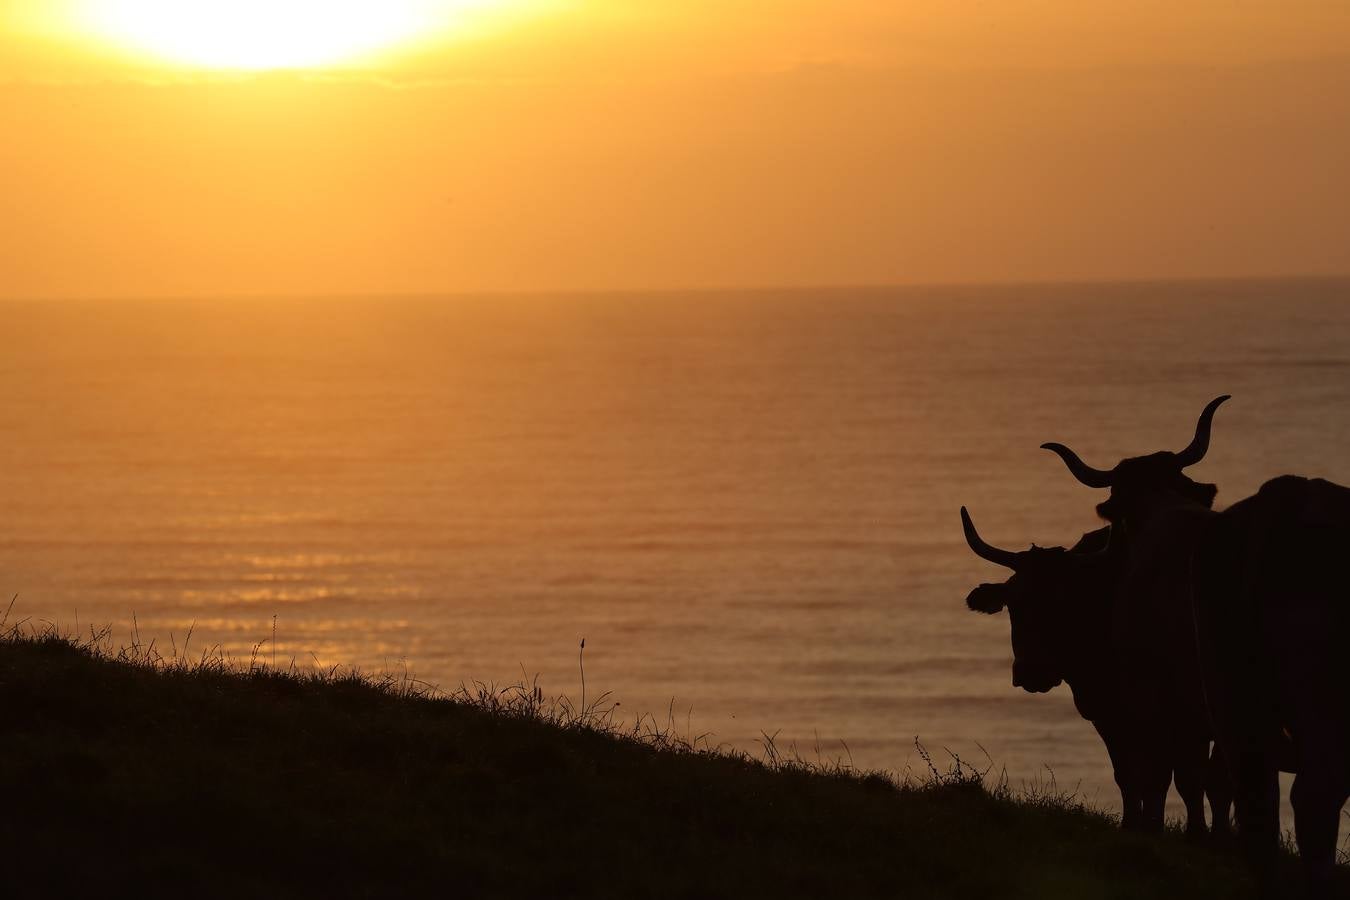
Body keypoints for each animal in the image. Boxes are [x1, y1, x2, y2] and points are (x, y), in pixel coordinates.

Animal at [955, 507, 1231, 836]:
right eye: (1014, 602)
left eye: (1063, 603)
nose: (1031, 671)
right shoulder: (1108, 716)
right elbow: (1129, 776)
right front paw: (1132, 826)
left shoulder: (1171, 718)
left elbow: (1177, 778)